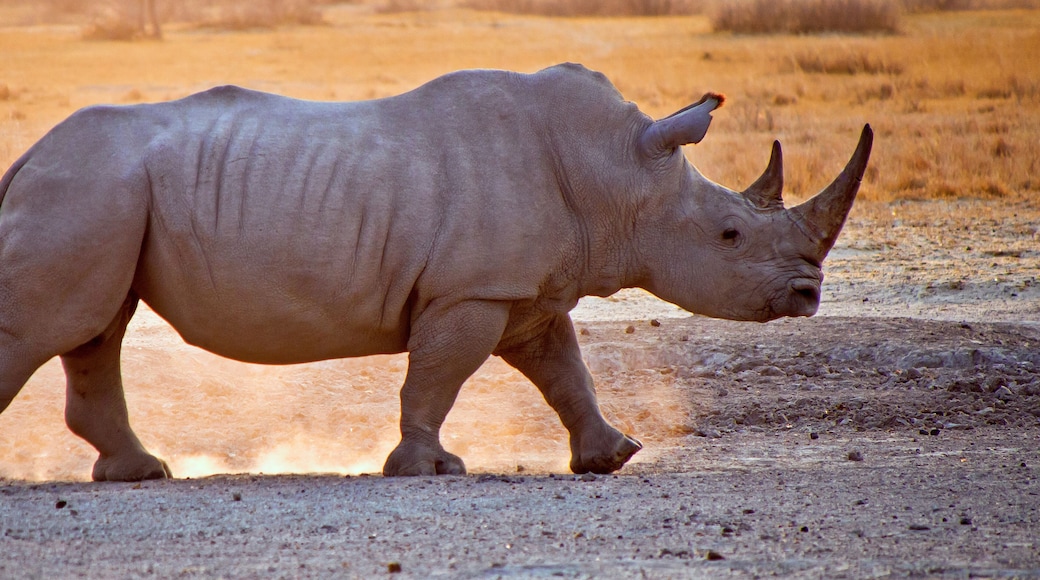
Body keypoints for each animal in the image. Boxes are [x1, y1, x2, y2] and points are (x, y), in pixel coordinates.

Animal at [0, 63, 871, 481]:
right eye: (729, 234)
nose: (808, 295)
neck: (617, 174)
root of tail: (28, 154)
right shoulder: (471, 288)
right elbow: (439, 375)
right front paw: (431, 467)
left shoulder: (525, 289)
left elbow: (565, 372)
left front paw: (613, 456)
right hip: (87, 186)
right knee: (57, 327)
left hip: (104, 193)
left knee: (94, 330)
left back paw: (140, 474)